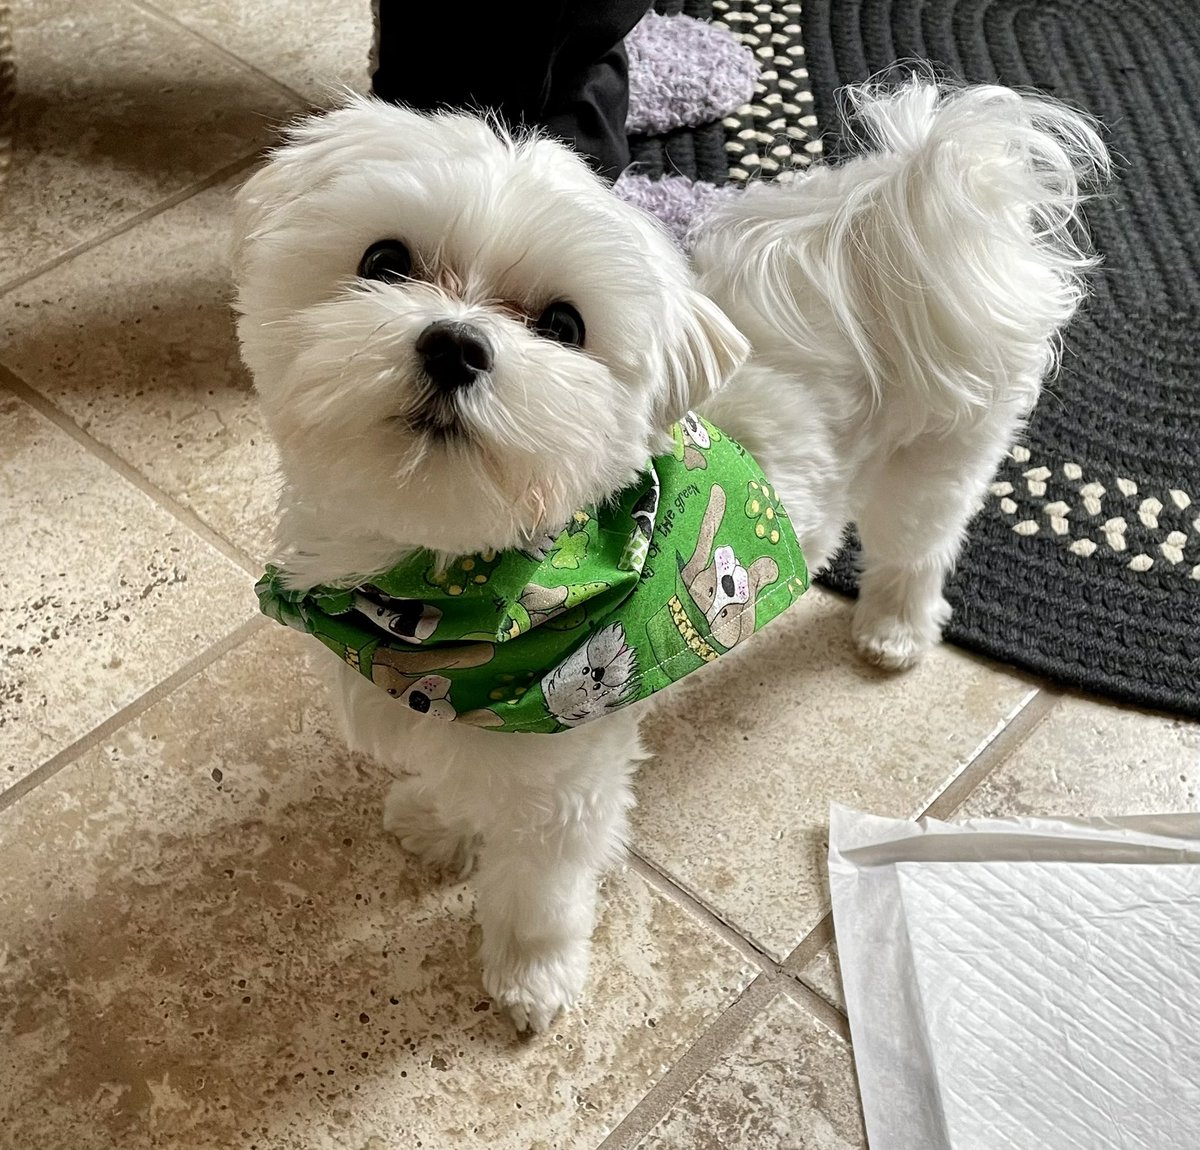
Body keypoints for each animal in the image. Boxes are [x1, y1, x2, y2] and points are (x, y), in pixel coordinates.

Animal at [231, 81, 1104, 1037]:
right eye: (384, 260)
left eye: (563, 325)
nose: (456, 345)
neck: (438, 585)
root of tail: (899, 203)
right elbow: (454, 775)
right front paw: (440, 821)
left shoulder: (563, 772)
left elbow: (539, 887)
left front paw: (532, 976)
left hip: (936, 461)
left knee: (921, 546)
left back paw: (895, 628)